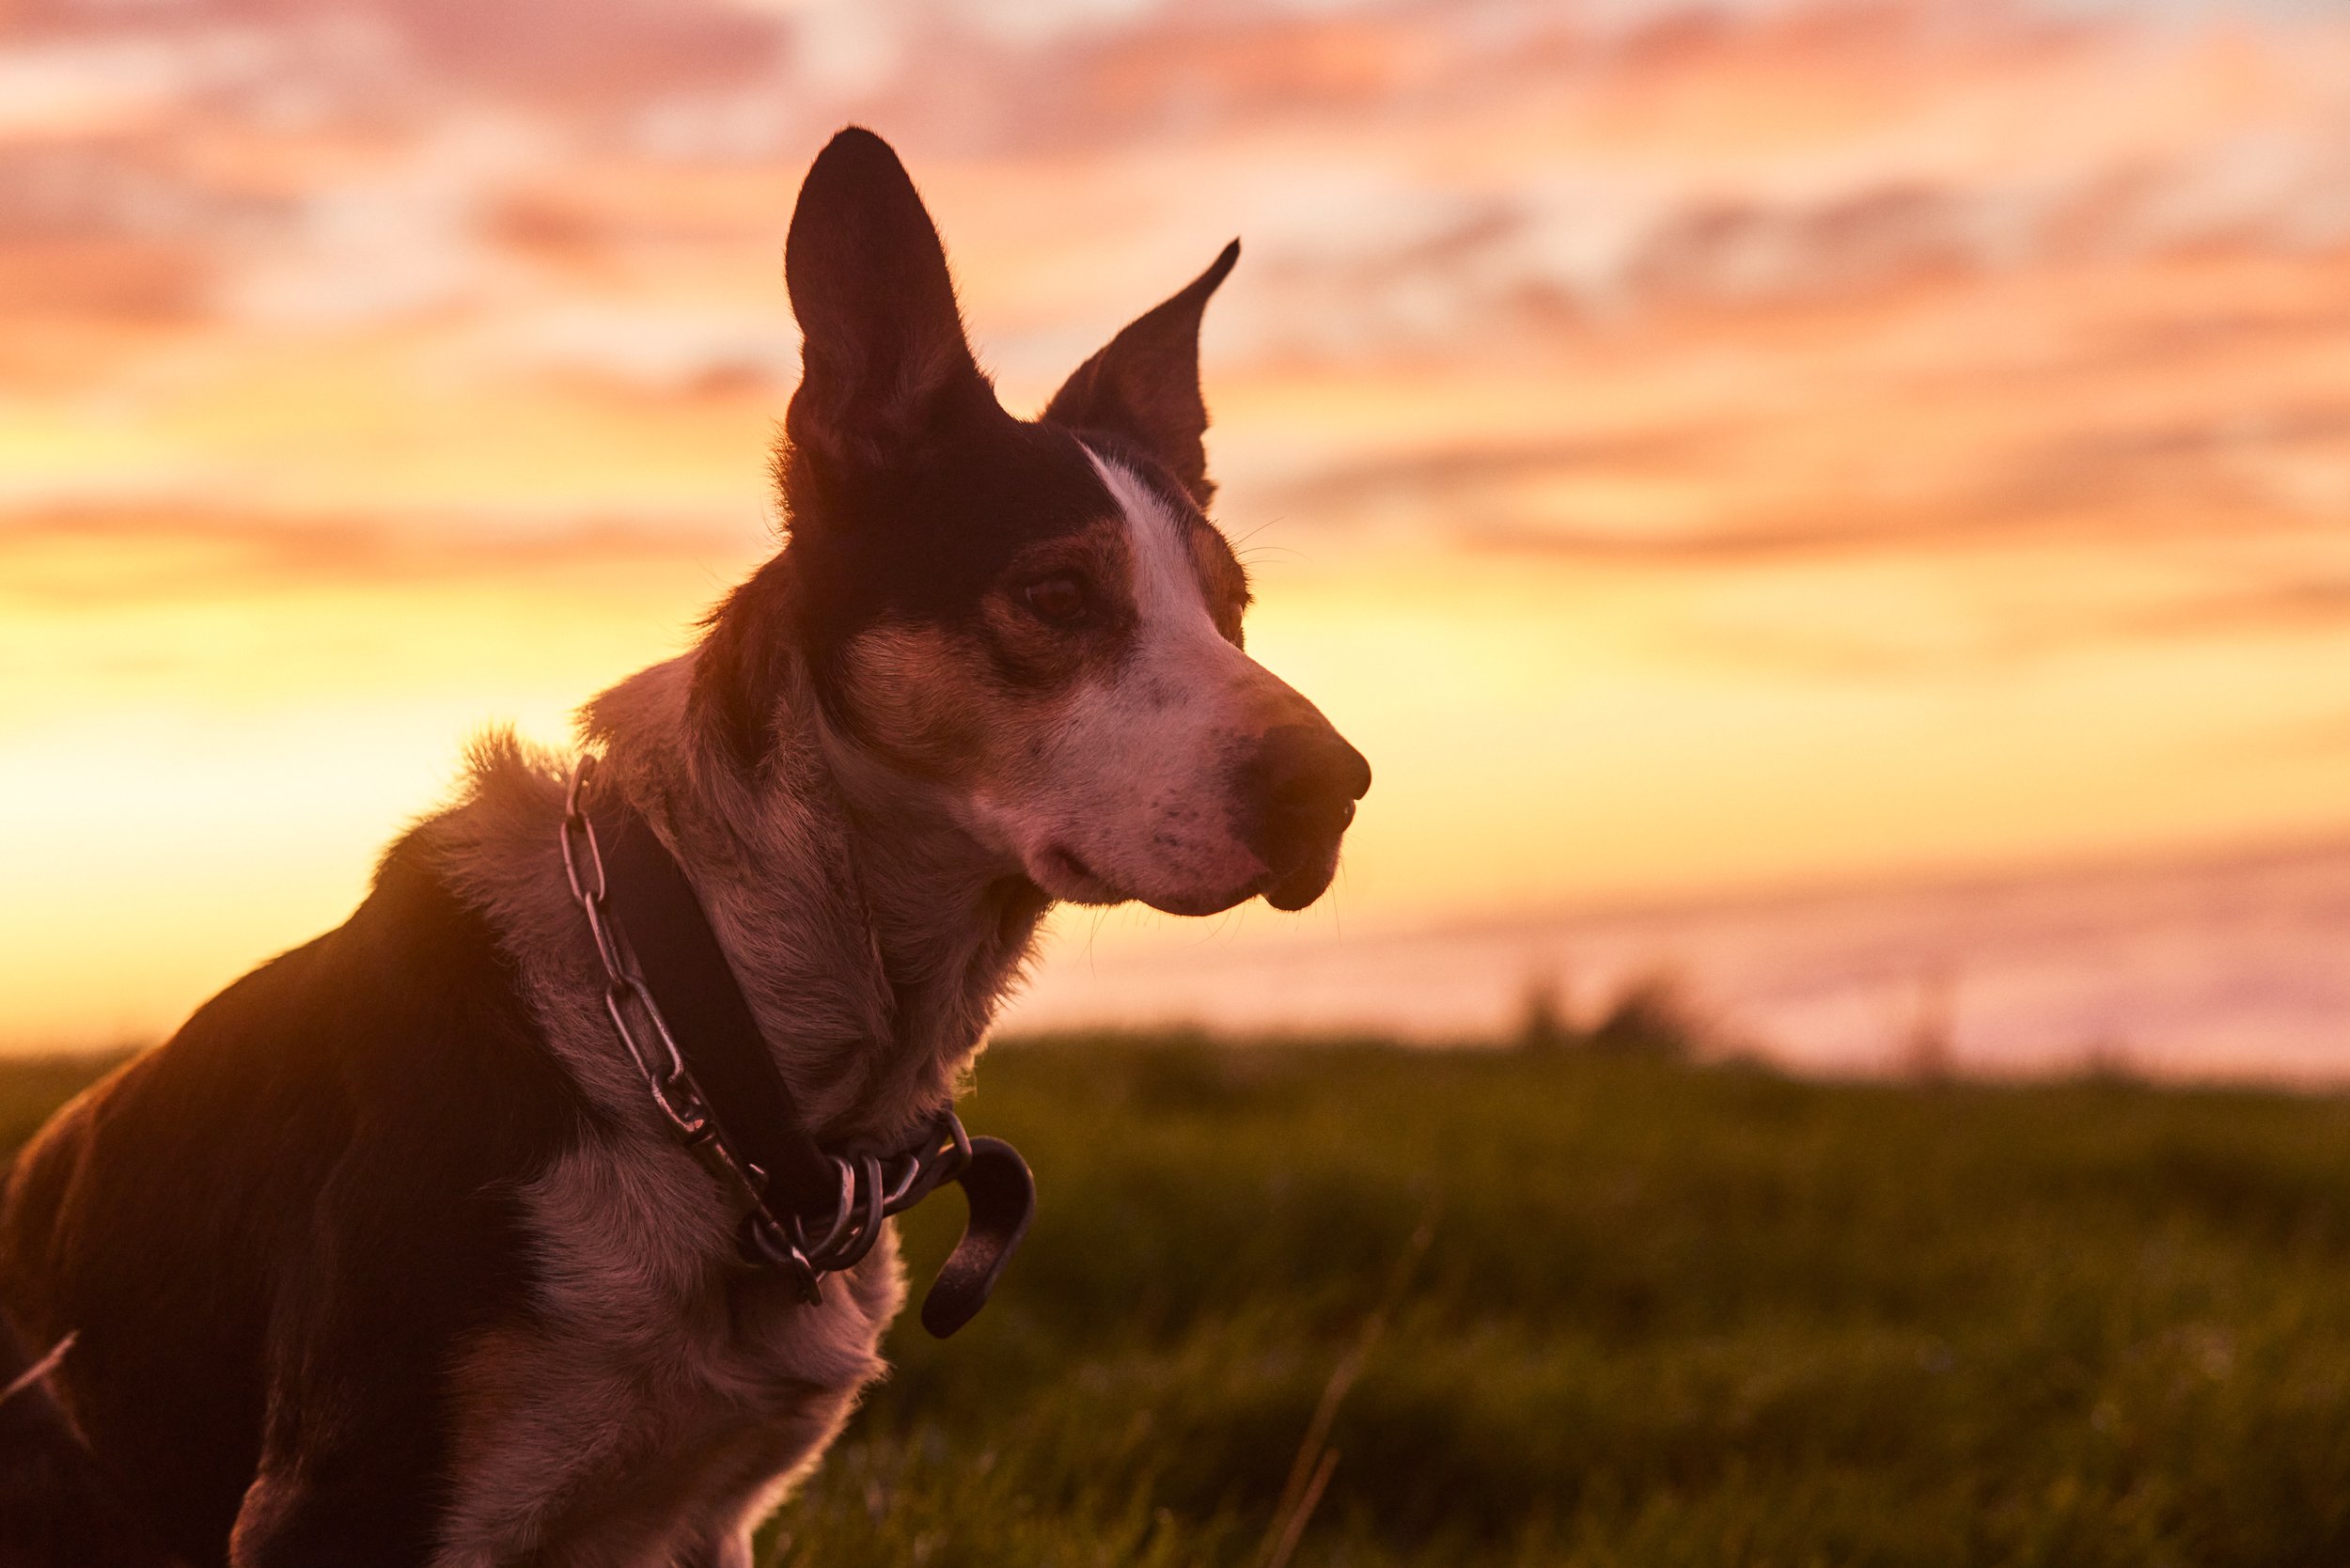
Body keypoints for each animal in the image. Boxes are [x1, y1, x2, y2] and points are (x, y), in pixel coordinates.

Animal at [0, 125, 1372, 1568]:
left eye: (1232, 610)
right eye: (1057, 593)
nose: (1337, 789)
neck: (716, 1020)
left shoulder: (702, 1523)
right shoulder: (344, 1499)